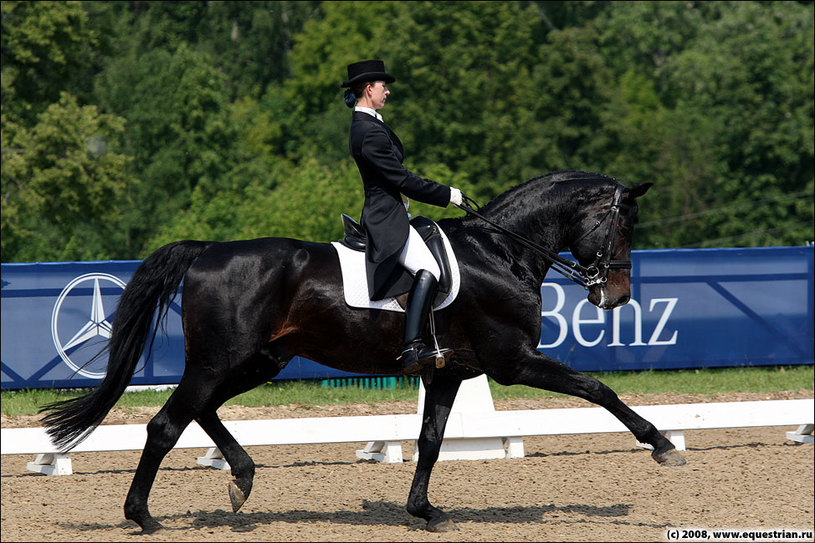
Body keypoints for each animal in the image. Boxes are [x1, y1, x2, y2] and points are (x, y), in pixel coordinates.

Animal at [41, 170, 684, 536]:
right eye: (623, 225)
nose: (617, 297)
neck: (500, 253)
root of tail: (207, 250)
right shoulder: (513, 360)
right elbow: (598, 388)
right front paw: (660, 445)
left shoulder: (452, 371)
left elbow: (430, 440)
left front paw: (423, 511)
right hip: (220, 360)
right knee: (166, 423)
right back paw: (143, 516)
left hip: (259, 360)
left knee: (200, 411)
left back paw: (241, 479)